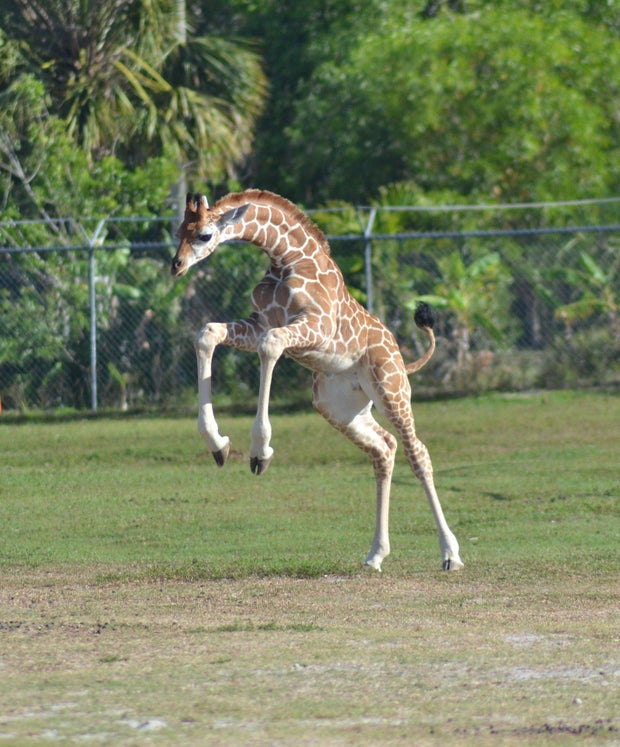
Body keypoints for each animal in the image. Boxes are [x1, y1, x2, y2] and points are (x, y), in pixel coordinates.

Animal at [171, 189, 463, 572]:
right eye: (179, 231)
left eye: (205, 235)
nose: (176, 265)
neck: (286, 258)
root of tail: (401, 357)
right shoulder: (259, 323)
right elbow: (208, 333)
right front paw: (218, 444)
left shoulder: (313, 327)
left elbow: (271, 346)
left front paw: (260, 451)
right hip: (339, 407)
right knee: (384, 449)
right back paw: (375, 554)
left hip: (391, 388)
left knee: (418, 454)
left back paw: (451, 554)